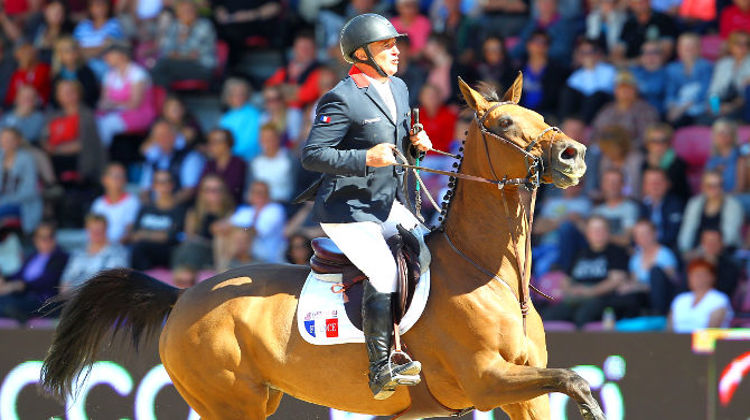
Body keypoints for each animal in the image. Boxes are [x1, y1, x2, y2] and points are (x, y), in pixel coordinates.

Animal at [41, 75, 608, 420]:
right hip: (230, 403)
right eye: (505, 123)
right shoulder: (488, 379)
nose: (575, 154)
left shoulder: (520, 392)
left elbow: (566, 380)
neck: (489, 275)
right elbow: (575, 379)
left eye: (536, 113)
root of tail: (182, 297)